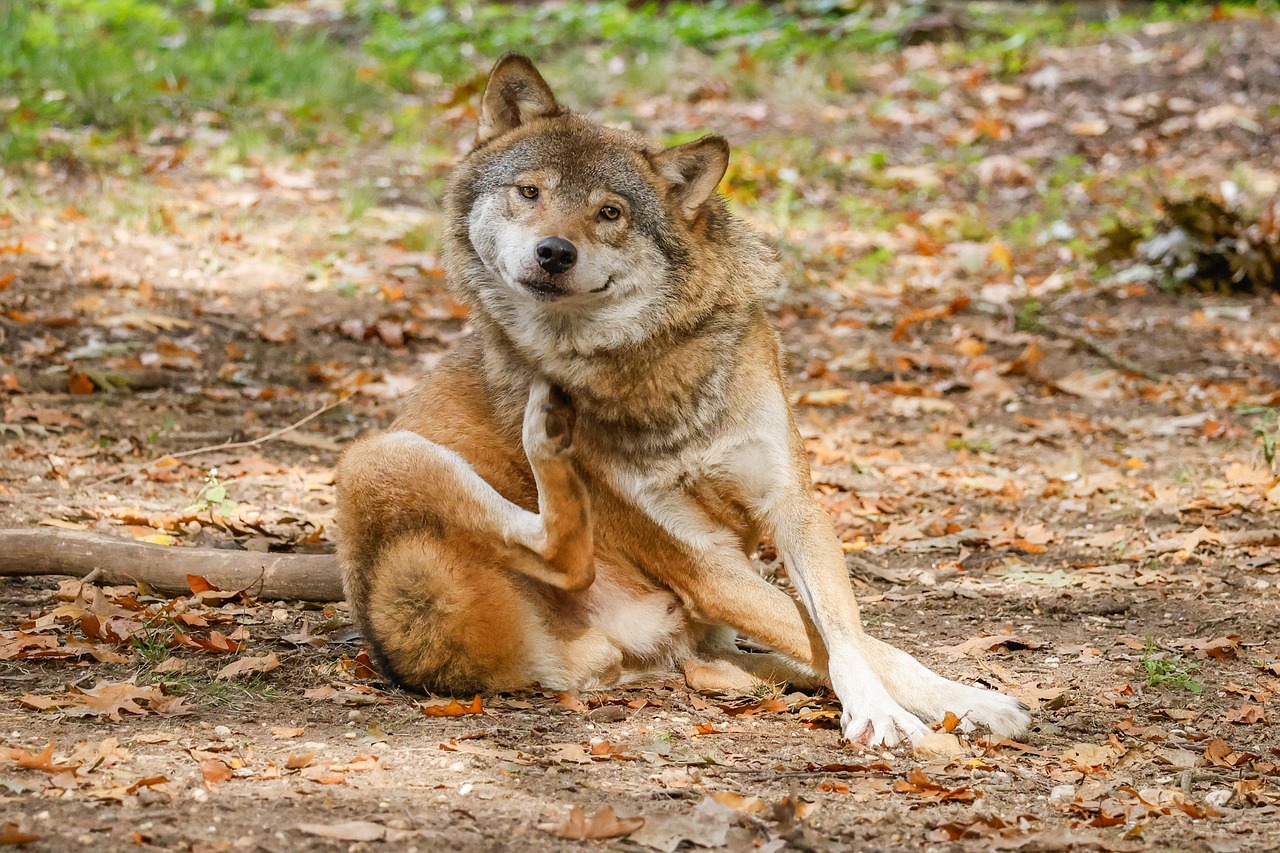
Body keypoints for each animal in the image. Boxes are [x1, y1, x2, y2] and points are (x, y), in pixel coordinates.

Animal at [336, 54, 1030, 746]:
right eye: (529, 192)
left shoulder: (793, 508)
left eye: (610, 213)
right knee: (564, 553)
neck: (651, 370)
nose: (554, 252)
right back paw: (546, 431)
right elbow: (850, 642)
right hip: (378, 456)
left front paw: (957, 702)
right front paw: (898, 713)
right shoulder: (704, 563)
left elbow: (849, 636)